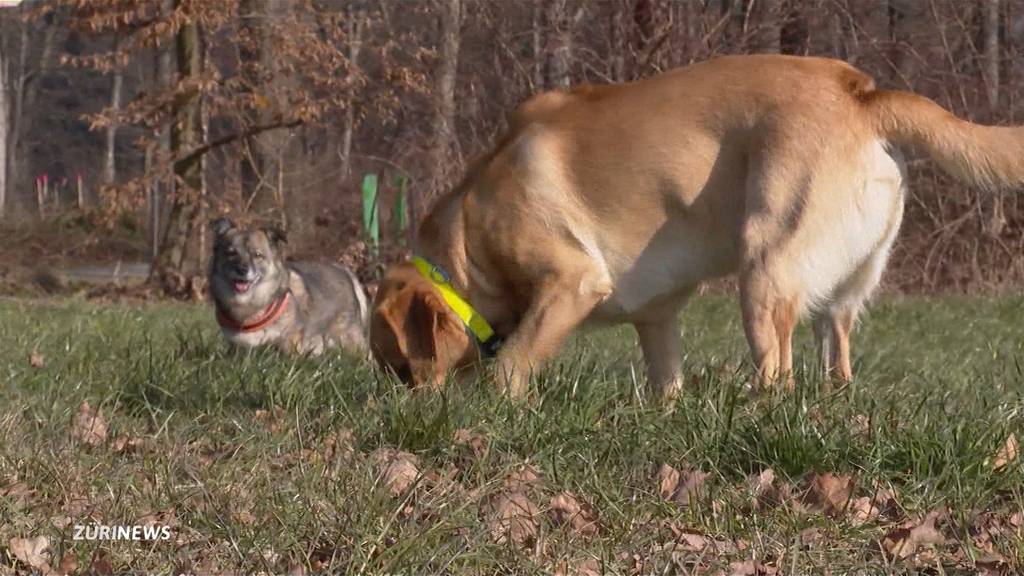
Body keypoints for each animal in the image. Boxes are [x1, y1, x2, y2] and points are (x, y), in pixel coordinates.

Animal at [206, 218, 368, 356]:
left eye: (258, 255)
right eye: (231, 253)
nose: (241, 269)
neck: (250, 308)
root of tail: (343, 270)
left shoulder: (290, 341)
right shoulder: (238, 347)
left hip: (348, 339)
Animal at [370, 56, 1024, 397]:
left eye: (400, 366)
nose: (408, 413)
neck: (465, 237)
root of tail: (861, 93)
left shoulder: (571, 282)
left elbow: (511, 365)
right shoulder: (656, 317)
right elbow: (666, 381)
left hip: (764, 270)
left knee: (778, 372)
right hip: (841, 294)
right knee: (835, 354)